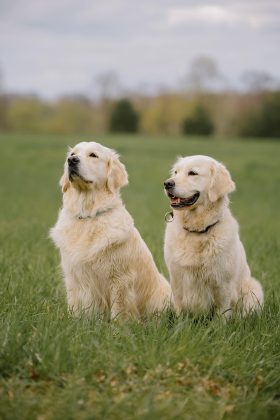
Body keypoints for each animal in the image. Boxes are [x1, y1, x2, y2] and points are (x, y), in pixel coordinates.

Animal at [50, 141, 173, 318]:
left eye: (93, 155)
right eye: (73, 153)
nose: (71, 160)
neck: (89, 215)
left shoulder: (120, 279)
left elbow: (119, 311)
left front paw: (117, 325)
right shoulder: (73, 277)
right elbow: (75, 306)